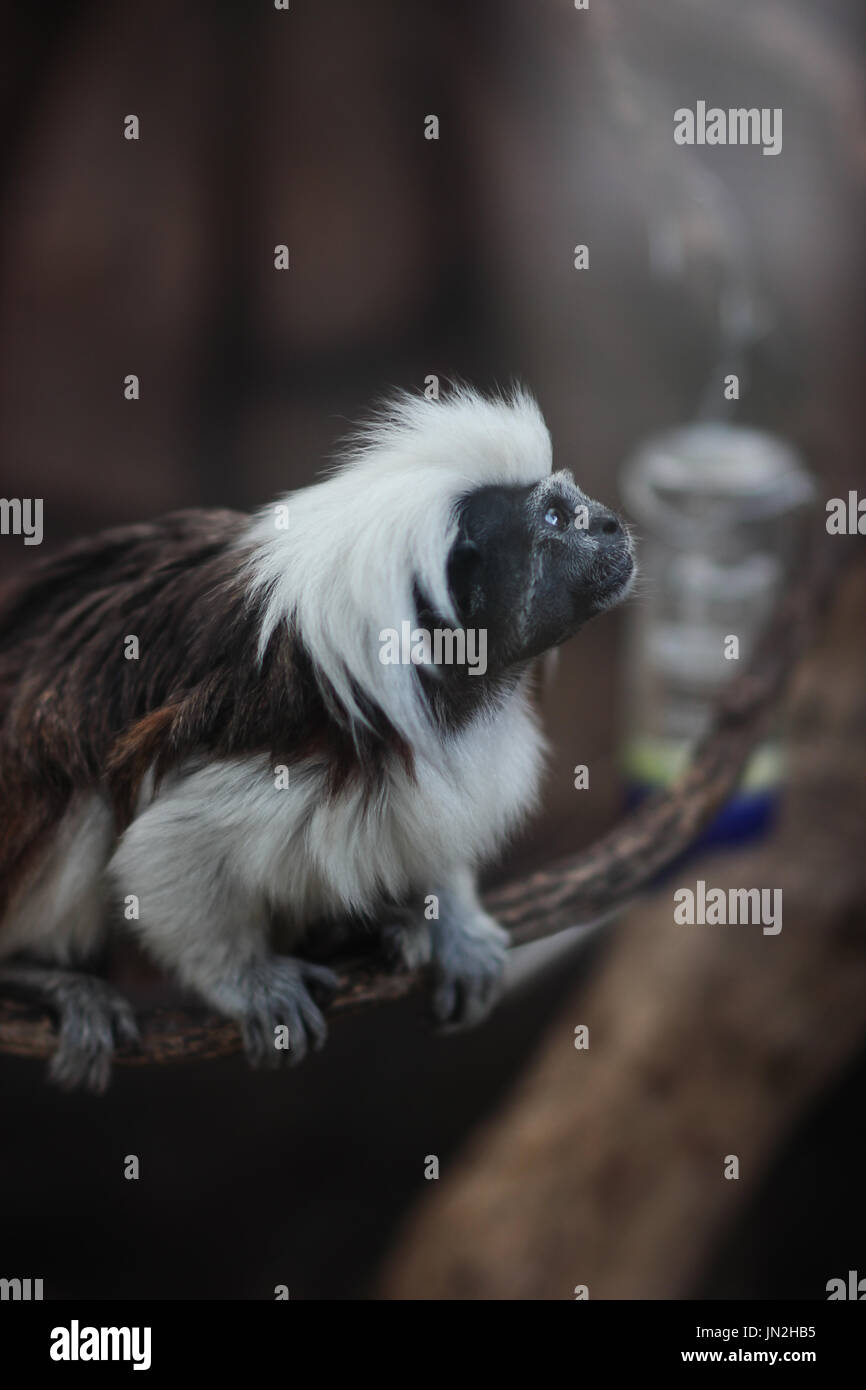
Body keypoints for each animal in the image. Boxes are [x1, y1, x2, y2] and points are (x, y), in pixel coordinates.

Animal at [0, 387, 635, 1090]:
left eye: (575, 505)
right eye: (556, 517)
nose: (612, 524)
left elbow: (439, 820)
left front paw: (452, 920)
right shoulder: (289, 741)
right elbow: (164, 848)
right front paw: (249, 982)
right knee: (77, 789)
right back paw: (42, 977)